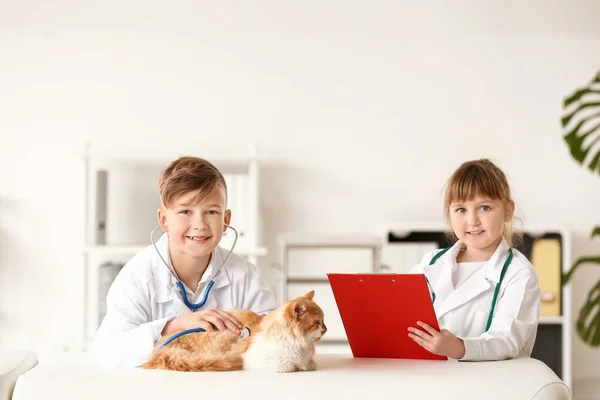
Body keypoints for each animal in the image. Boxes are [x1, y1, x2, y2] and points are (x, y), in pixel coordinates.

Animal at [141, 290, 326, 372]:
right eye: (317, 323)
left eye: (323, 320)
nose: (326, 329)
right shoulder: (254, 357)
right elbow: (288, 365)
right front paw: (294, 365)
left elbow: (309, 364)